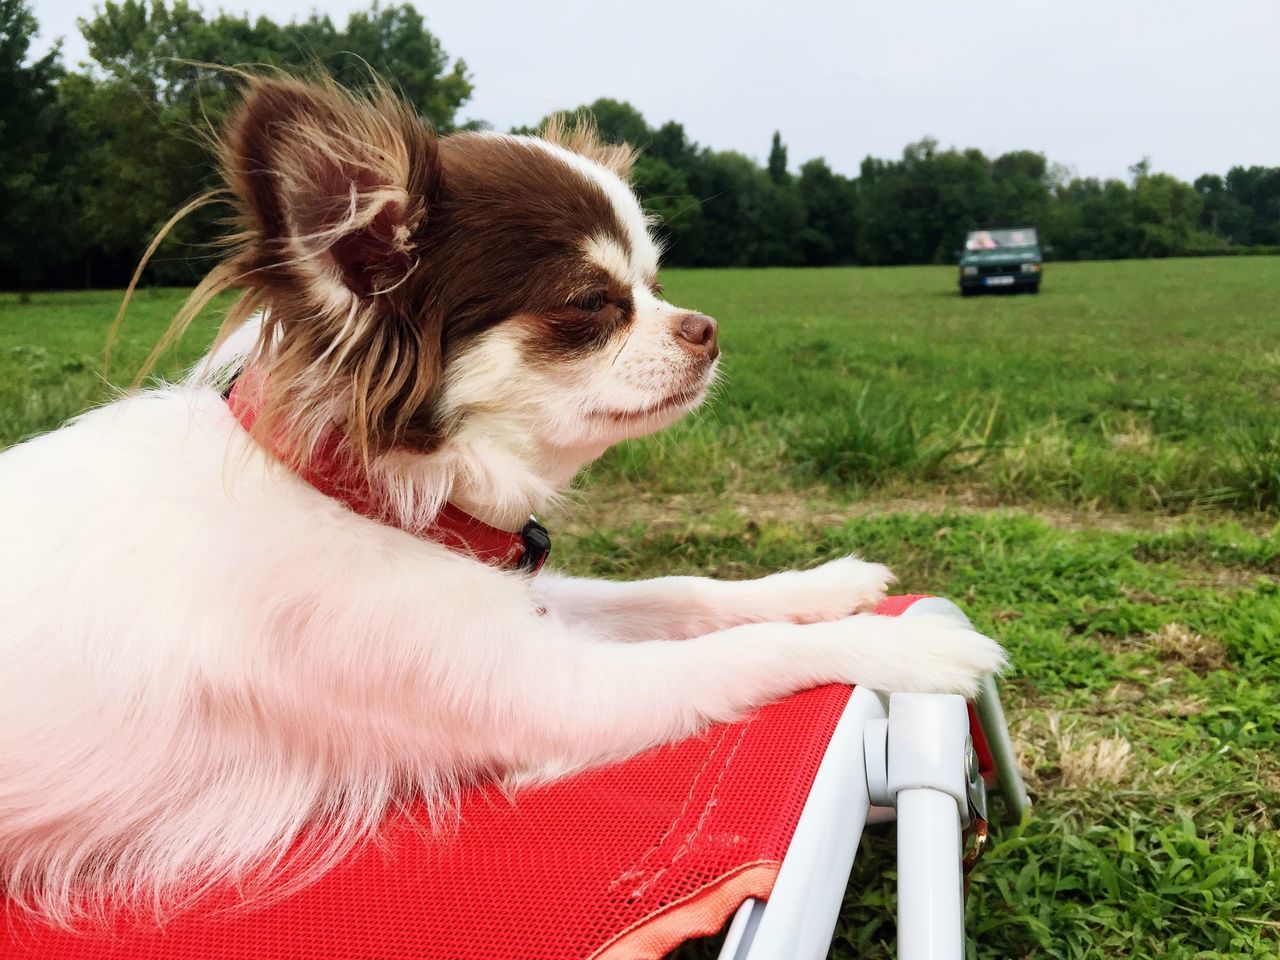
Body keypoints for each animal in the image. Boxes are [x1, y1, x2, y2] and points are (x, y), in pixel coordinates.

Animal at [0, 75, 1003, 916]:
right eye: (591, 303)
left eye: (655, 285)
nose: (707, 326)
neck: (357, 493)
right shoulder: (558, 694)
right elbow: (746, 651)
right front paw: (907, 645)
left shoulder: (525, 604)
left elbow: (682, 592)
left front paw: (824, 584)